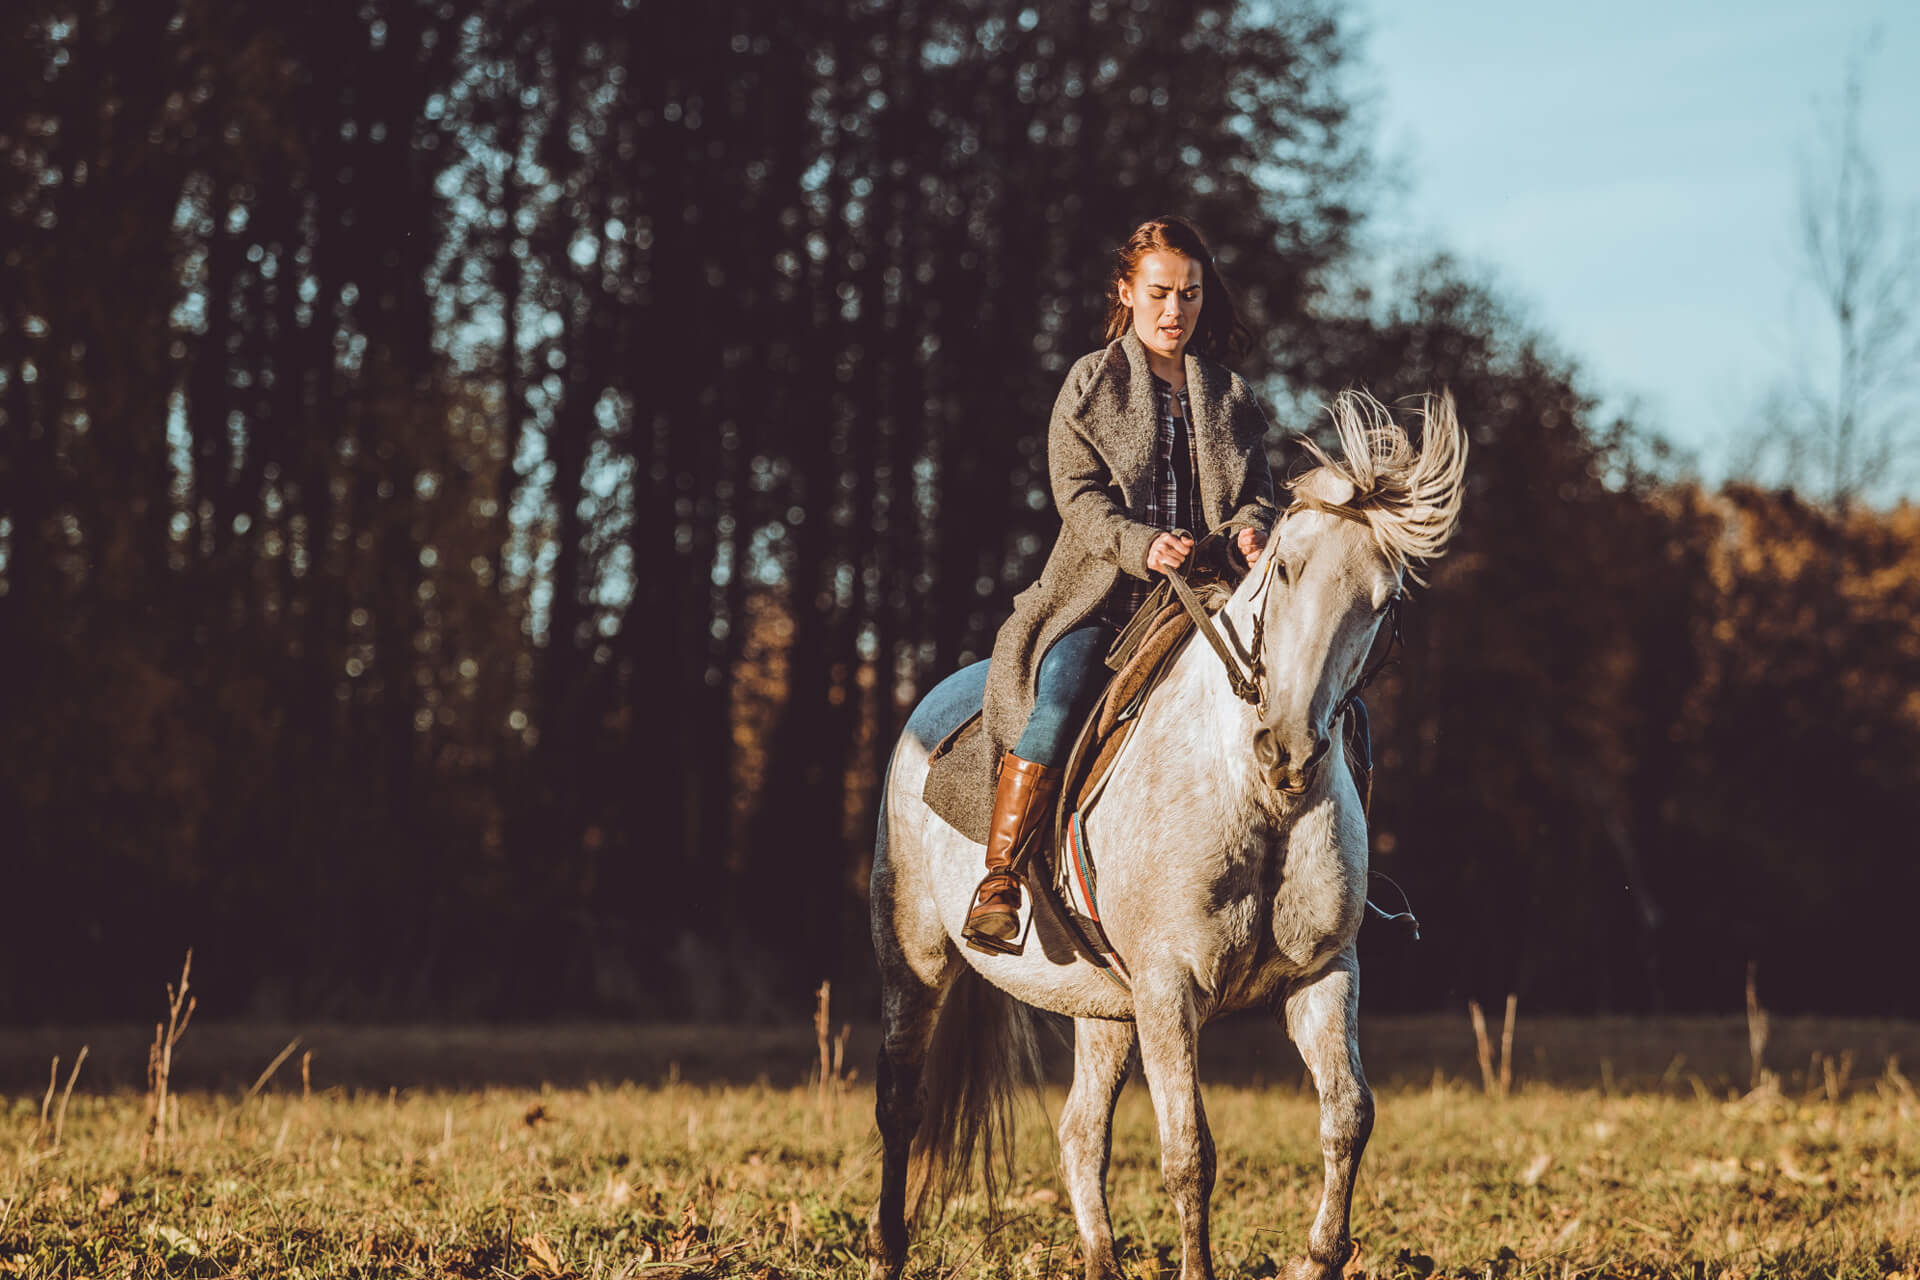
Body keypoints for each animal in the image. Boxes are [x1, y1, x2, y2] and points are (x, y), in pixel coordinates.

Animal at [866, 390, 1467, 1280]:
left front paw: (1319, 1257)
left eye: (1383, 599)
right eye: (1284, 568)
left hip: (1102, 1008)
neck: (1253, 796)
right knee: (901, 1100)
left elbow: (1349, 1116)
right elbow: (1190, 1153)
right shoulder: (1167, 987)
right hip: (915, 957)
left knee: (1080, 1134)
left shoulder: (1322, 976)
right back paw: (889, 1248)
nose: (1288, 749)